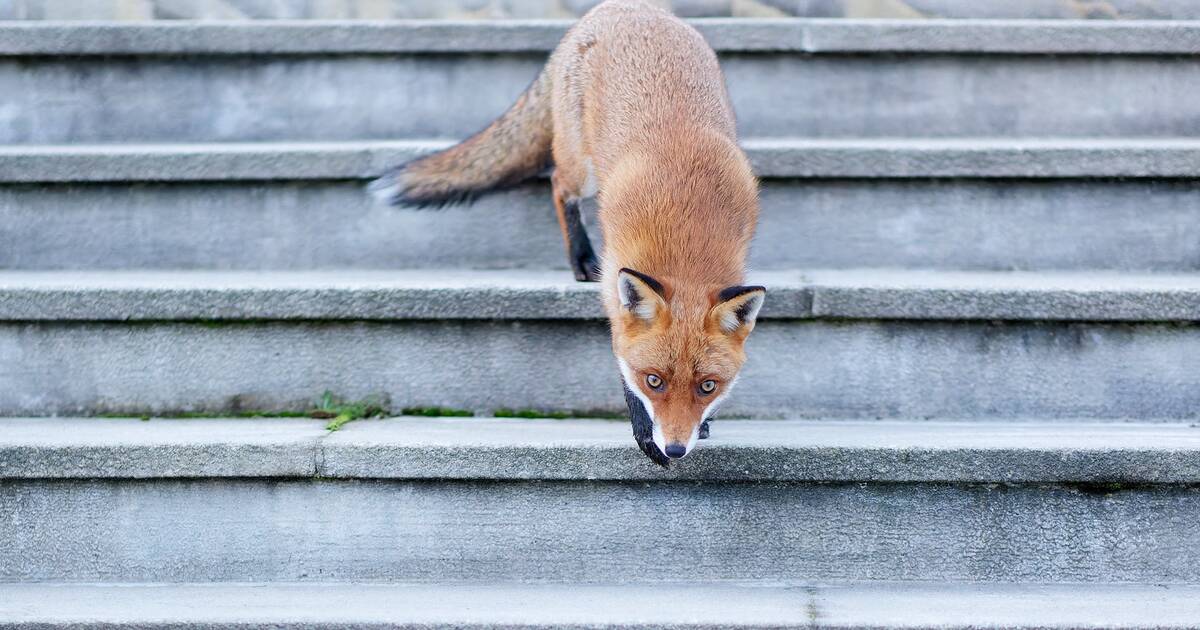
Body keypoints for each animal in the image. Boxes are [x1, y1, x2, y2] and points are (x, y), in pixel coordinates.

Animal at [369, 0, 763, 463]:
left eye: (707, 386)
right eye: (653, 380)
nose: (676, 448)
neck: (686, 228)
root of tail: (620, 7)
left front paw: (703, 426)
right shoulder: (616, 282)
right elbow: (619, 356)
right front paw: (644, 433)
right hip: (581, 170)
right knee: (557, 184)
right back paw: (579, 259)